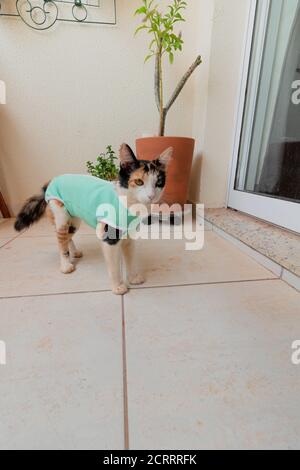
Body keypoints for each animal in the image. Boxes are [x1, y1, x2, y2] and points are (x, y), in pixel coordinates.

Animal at [14, 145, 173, 296]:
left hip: (74, 220)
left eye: (159, 182)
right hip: (61, 215)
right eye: (139, 181)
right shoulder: (109, 237)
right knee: (61, 239)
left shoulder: (129, 236)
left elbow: (130, 258)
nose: (151, 196)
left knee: (68, 236)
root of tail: (51, 181)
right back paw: (66, 265)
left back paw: (74, 252)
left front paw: (133, 277)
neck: (126, 201)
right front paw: (118, 287)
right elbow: (114, 266)